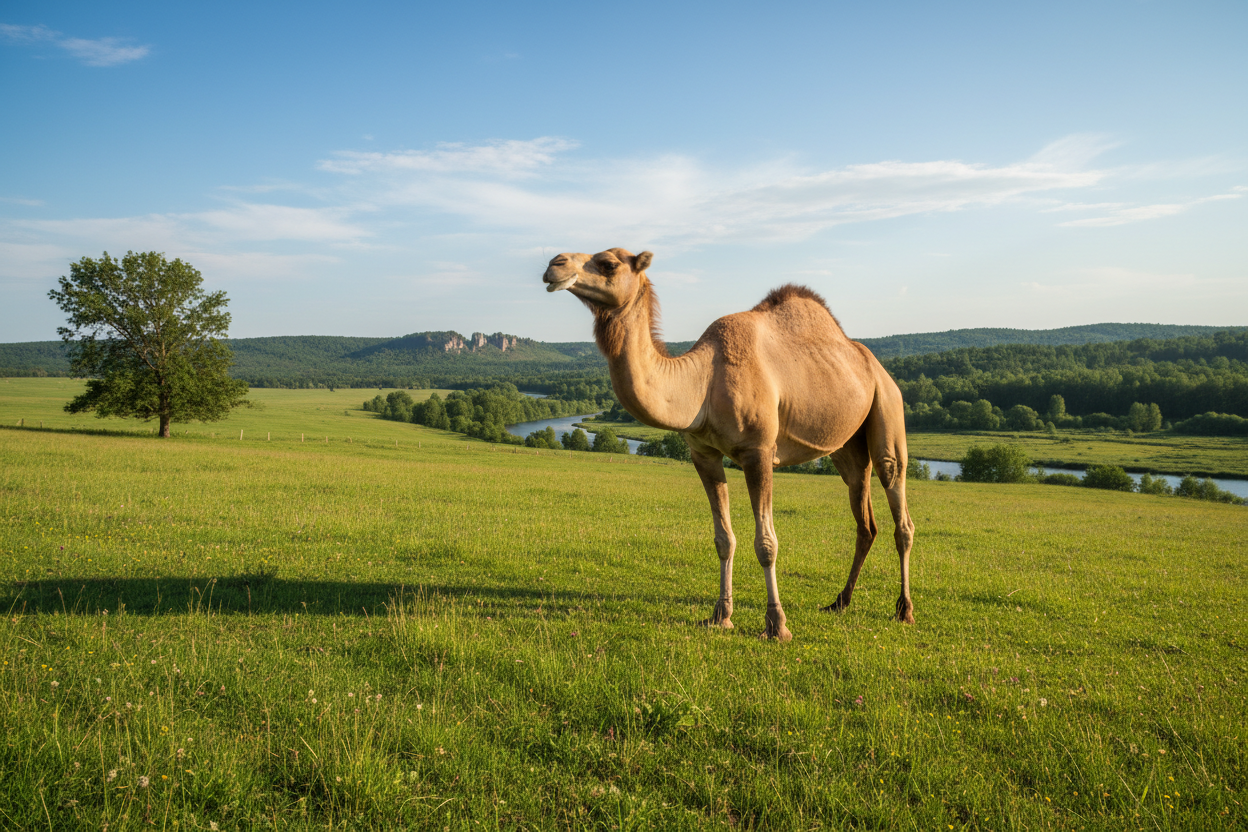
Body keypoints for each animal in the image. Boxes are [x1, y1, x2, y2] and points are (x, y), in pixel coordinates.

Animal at [543, 248, 915, 640]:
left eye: (609, 263)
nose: (555, 264)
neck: (702, 383)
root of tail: (875, 365)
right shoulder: (703, 453)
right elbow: (724, 538)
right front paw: (720, 614)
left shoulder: (758, 451)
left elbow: (766, 543)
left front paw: (777, 624)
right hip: (847, 447)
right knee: (864, 514)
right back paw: (839, 601)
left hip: (888, 406)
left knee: (898, 501)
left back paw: (904, 610)